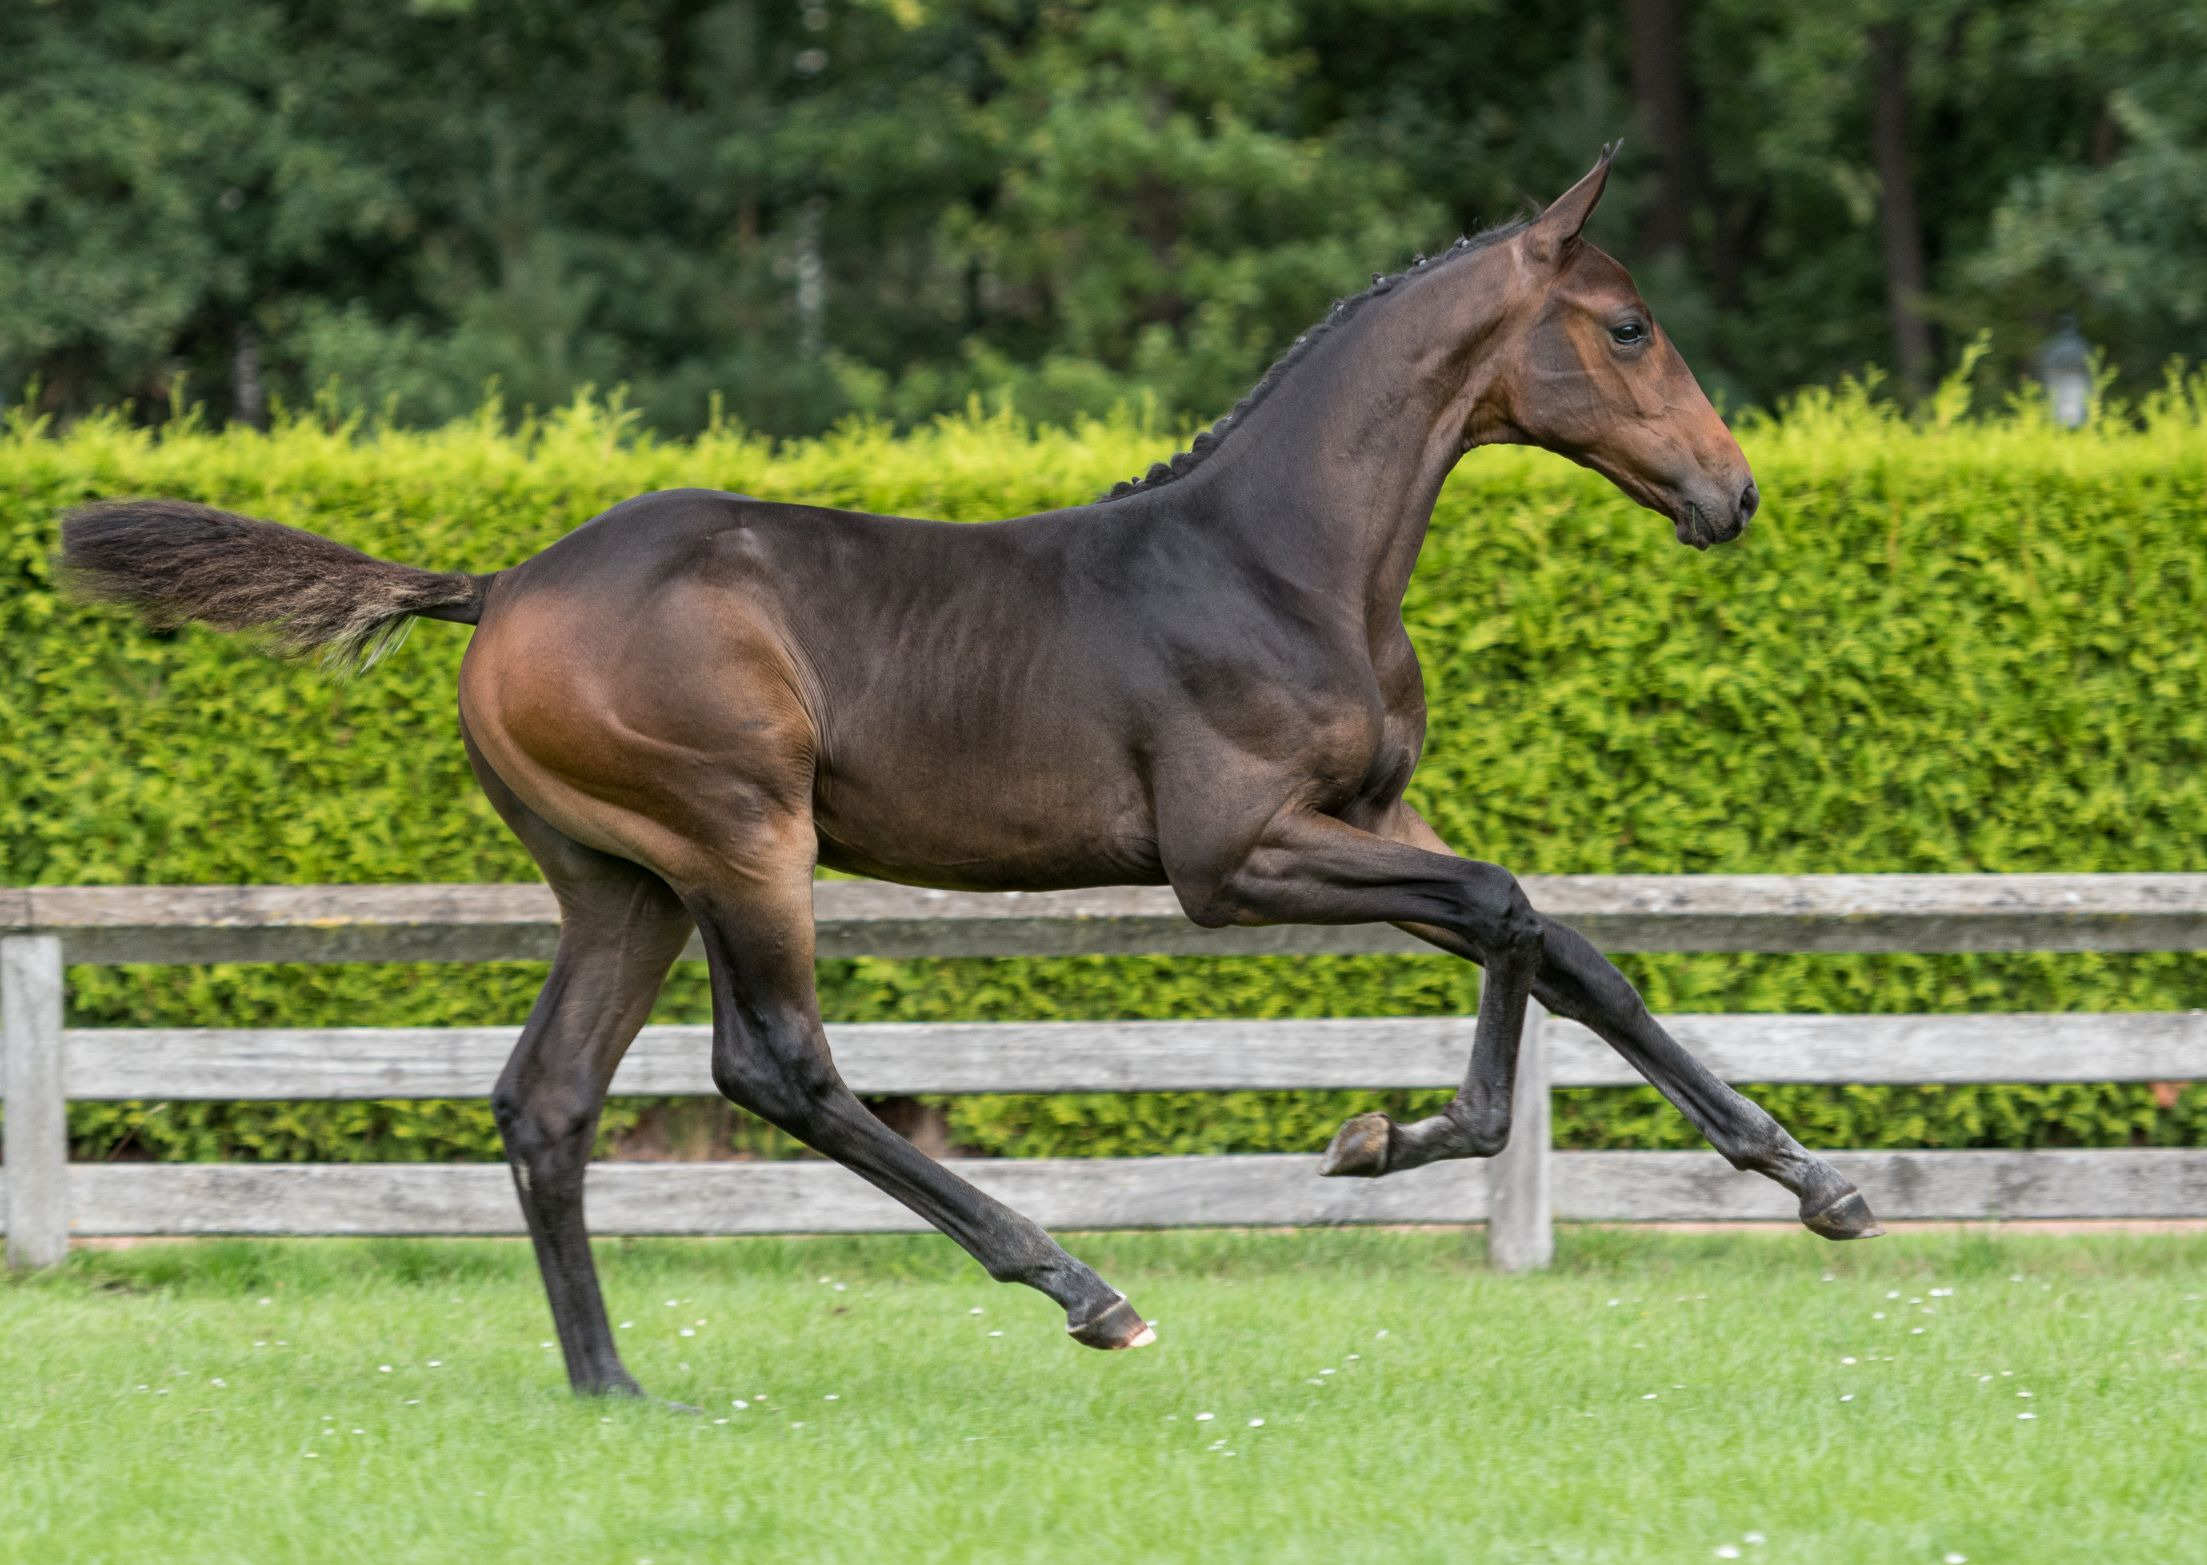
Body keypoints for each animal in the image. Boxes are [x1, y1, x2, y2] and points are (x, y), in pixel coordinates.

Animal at [61, 147, 1880, 1400]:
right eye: (1627, 326)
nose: (1731, 495)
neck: (1281, 561)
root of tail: (497, 586)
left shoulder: (1365, 819)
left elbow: (1547, 939)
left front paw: (1796, 1179)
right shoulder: (1233, 860)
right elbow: (1511, 908)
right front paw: (1413, 1138)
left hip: (620, 881)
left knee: (545, 1099)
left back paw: (613, 1385)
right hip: (738, 839)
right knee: (774, 1067)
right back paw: (1079, 1287)